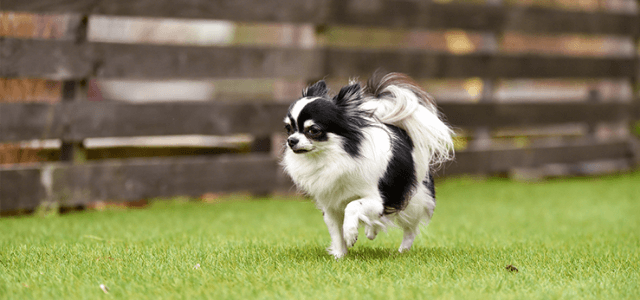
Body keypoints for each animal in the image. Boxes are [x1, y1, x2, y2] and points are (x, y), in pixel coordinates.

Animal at [282, 72, 456, 258]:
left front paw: (350, 233)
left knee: (410, 229)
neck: (330, 158)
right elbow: (336, 233)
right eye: (289, 129)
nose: (291, 141)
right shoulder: (330, 207)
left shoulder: (376, 200)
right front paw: (339, 256)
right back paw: (371, 232)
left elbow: (352, 206)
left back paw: (402, 250)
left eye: (313, 131)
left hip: (414, 200)